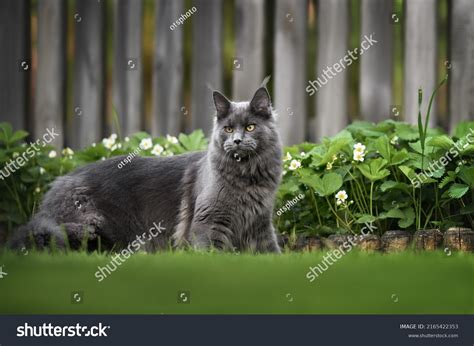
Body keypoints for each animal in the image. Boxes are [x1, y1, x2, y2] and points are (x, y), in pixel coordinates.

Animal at [8, 86, 282, 254]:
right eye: (228, 129)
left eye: (250, 127)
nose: (236, 141)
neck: (247, 177)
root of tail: (55, 186)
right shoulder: (208, 223)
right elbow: (213, 252)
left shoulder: (260, 224)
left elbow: (273, 253)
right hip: (91, 224)